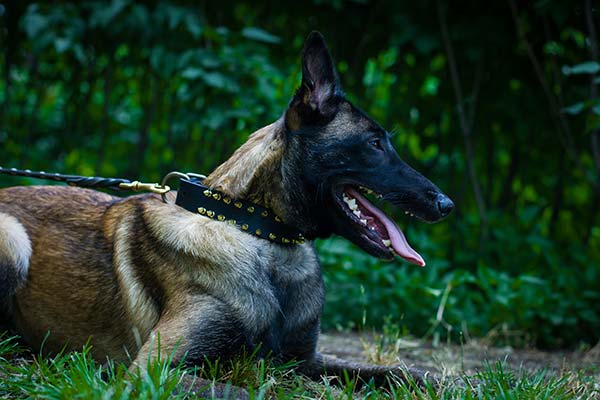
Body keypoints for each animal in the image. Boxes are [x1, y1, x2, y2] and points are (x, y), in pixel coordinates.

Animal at [0, 32, 450, 396]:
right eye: (374, 144)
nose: (446, 204)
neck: (259, 234)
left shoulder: (304, 360)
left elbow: (394, 372)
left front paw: (435, 379)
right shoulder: (154, 372)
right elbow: (250, 393)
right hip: (14, 242)